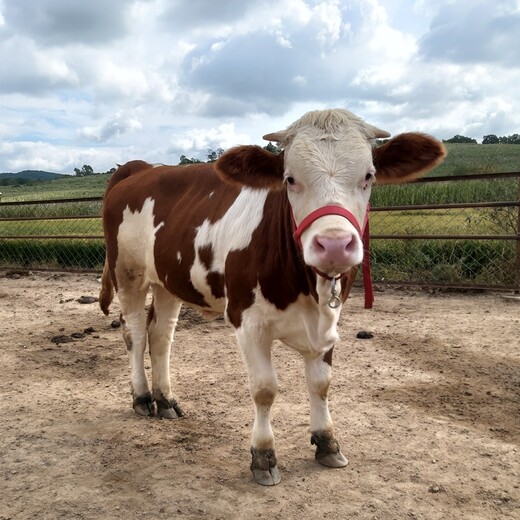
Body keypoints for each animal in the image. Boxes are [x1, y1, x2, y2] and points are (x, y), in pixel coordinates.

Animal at [99, 107, 444, 486]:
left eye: (369, 176)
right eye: (289, 179)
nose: (334, 244)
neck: (306, 289)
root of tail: (141, 167)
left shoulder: (329, 320)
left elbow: (321, 384)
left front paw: (327, 441)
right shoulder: (246, 321)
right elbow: (265, 389)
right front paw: (263, 455)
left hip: (167, 281)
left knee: (161, 336)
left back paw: (166, 400)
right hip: (128, 273)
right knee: (135, 333)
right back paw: (143, 397)